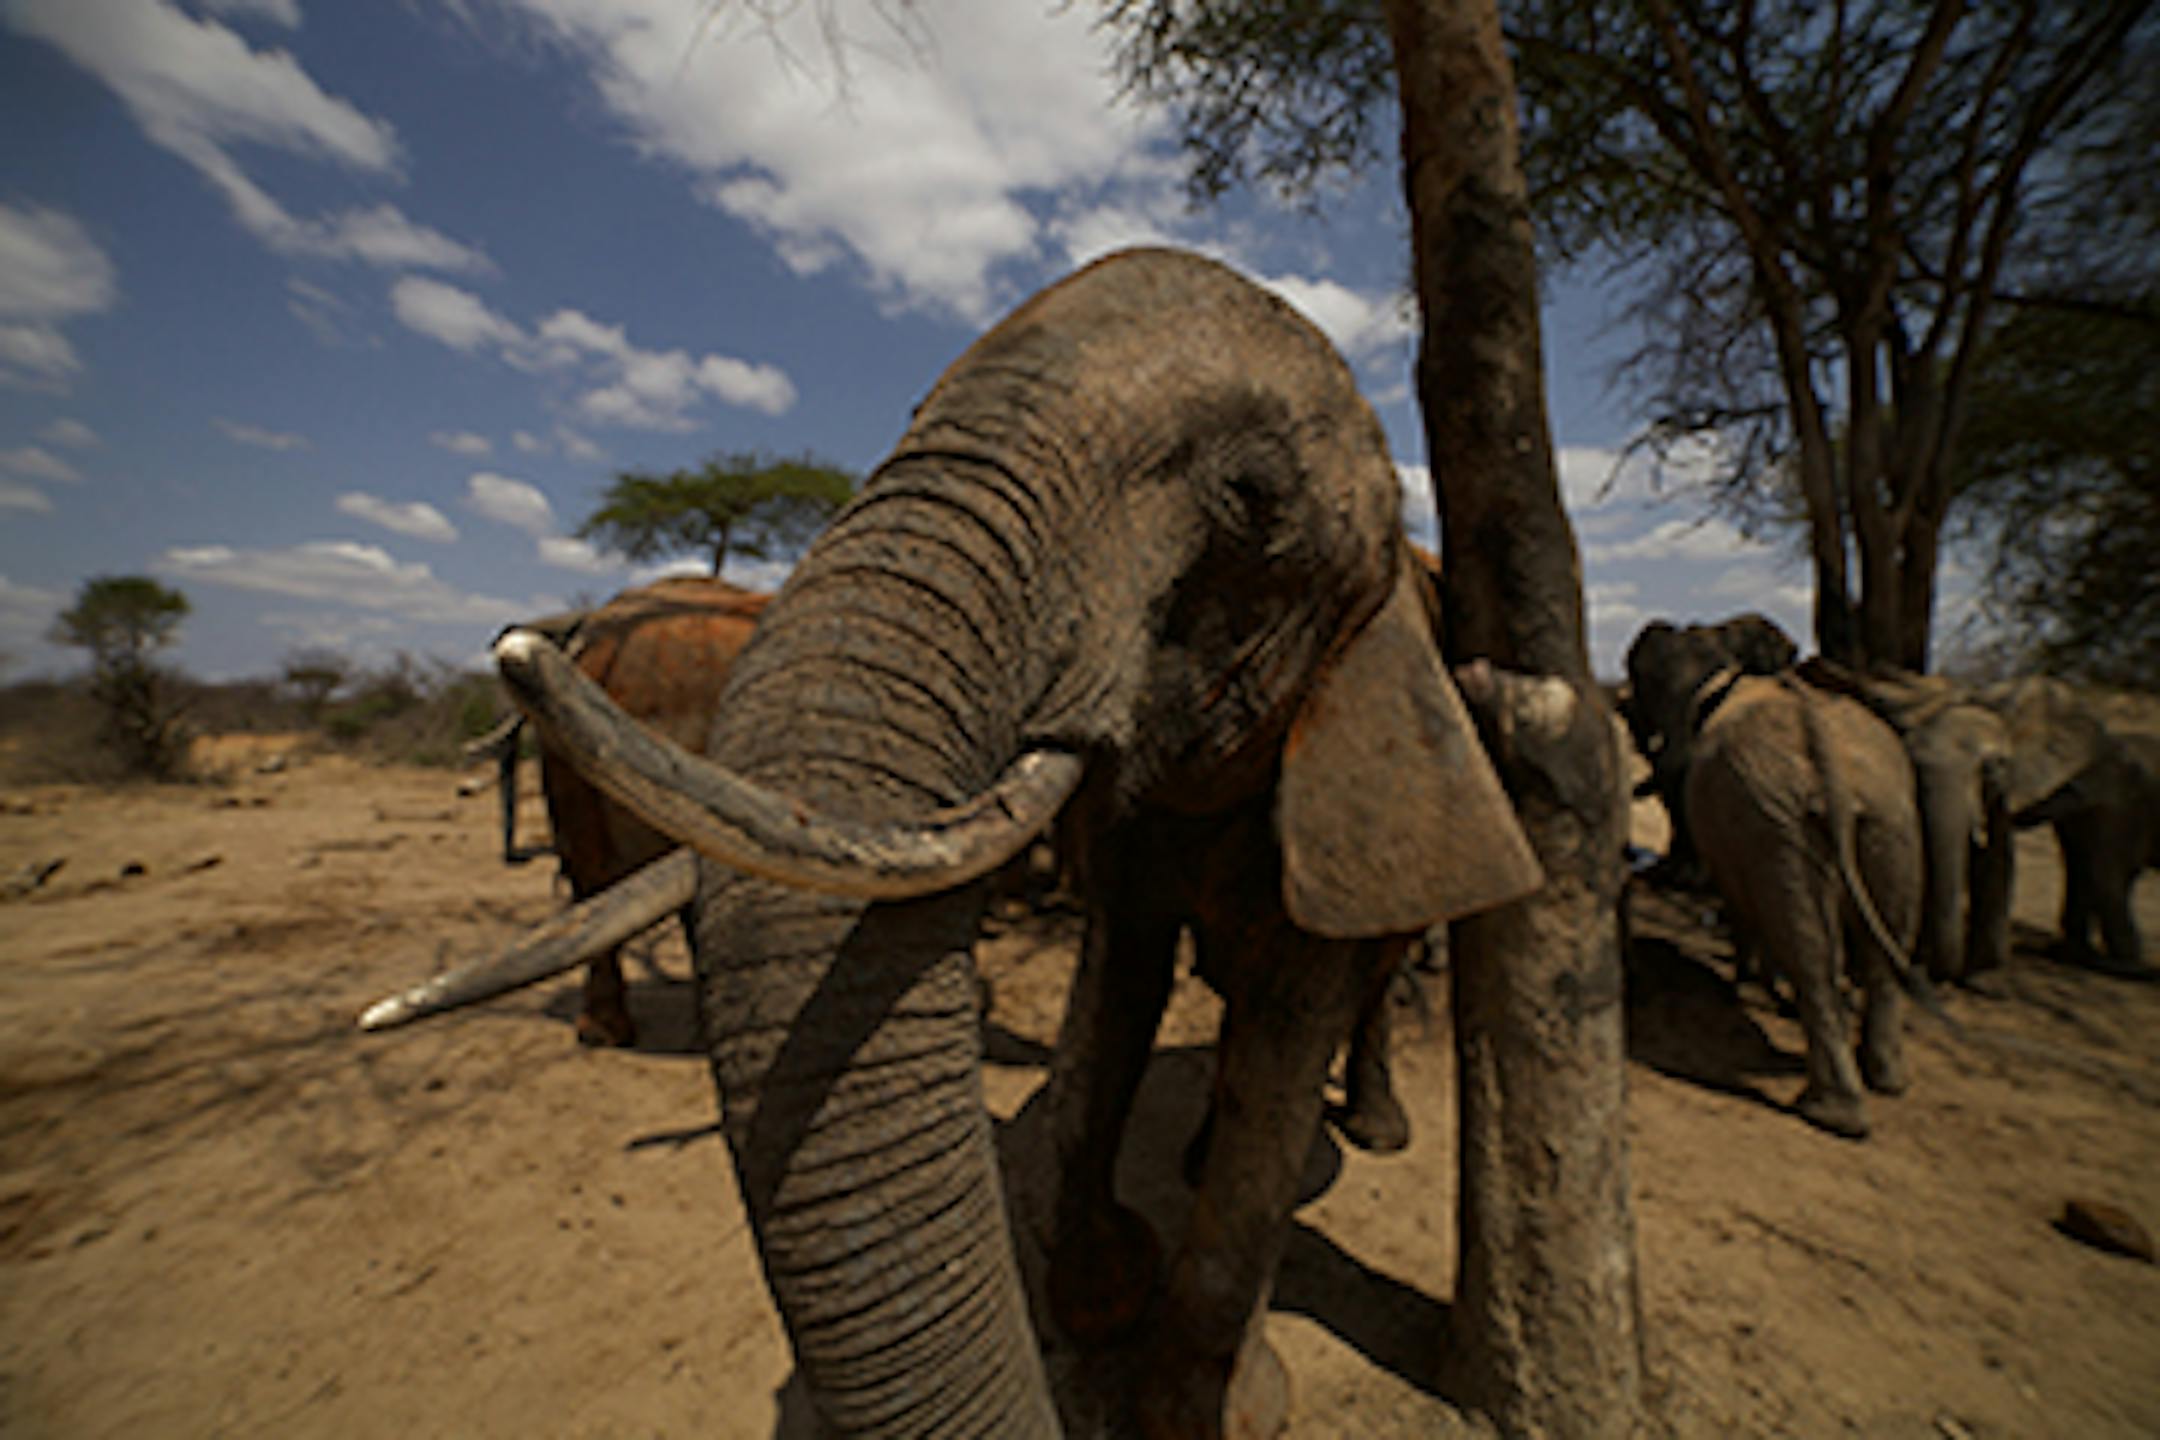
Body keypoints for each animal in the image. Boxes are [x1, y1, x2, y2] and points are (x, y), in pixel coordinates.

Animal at [399, 248, 1544, 1438]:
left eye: (1254, 499)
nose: (512, 653)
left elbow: (1281, 1038)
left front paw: (1216, 1410)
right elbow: (1111, 995)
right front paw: (1102, 1292)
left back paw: (1370, 1132)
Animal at [1627, 623, 1923, 1139]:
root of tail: (1835, 769)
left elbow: (1742, 899)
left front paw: (1746, 983)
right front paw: (1755, 985)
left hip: (1782, 818)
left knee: (1812, 952)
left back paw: (1834, 1111)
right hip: (1883, 820)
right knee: (1881, 944)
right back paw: (1883, 1085)